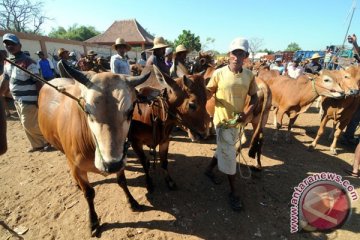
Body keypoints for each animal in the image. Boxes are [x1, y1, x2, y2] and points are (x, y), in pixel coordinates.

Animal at [38, 61, 151, 235]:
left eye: (130, 111)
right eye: (87, 110)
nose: (111, 165)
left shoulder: (120, 160)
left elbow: (122, 181)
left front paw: (132, 202)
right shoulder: (78, 168)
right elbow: (89, 193)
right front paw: (93, 222)